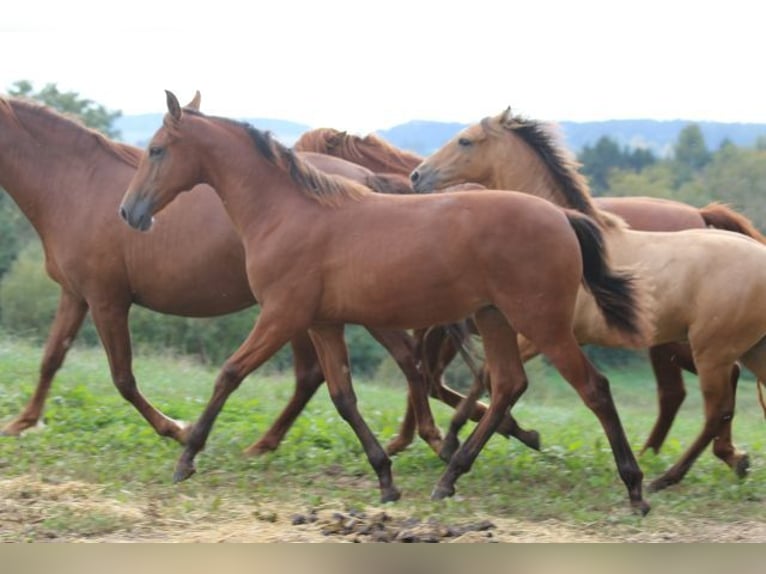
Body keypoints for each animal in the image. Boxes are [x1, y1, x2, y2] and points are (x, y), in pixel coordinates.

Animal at [0, 97, 450, 462]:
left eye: (157, 150)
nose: (129, 214)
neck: (77, 185)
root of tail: (367, 181)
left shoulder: (107, 300)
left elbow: (123, 378)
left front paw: (178, 430)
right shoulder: (76, 295)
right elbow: (51, 358)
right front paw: (22, 422)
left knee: (320, 374)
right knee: (399, 359)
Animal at [120, 93, 656, 512]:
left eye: (157, 149)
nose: (130, 212)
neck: (288, 212)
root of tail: (562, 216)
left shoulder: (281, 315)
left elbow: (229, 373)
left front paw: (187, 454)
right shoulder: (324, 323)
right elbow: (343, 397)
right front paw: (385, 478)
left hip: (542, 324)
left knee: (593, 388)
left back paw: (635, 488)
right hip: (495, 319)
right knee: (507, 385)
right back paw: (449, 477)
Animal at [414, 107, 766, 490]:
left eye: (465, 140)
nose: (417, 175)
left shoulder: (541, 335)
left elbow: (489, 377)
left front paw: (455, 441)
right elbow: (490, 378)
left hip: (708, 351)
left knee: (714, 410)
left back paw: (666, 477)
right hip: (734, 349)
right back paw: (721, 461)